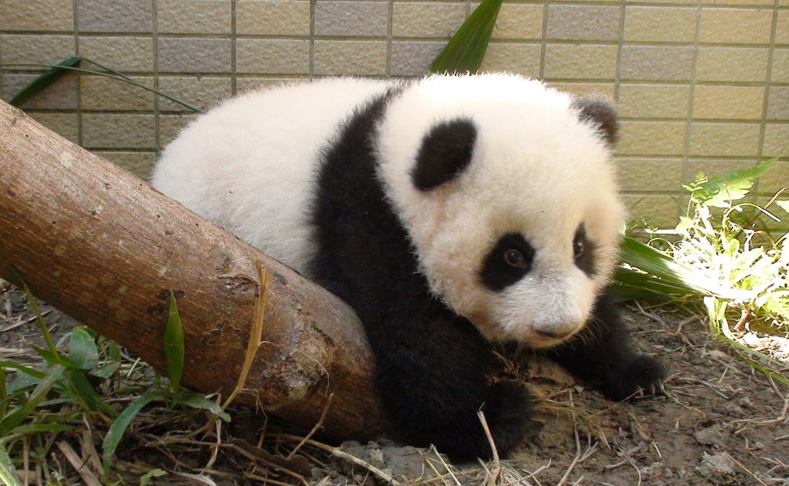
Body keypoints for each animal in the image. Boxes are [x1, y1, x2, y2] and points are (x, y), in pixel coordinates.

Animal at [152, 74, 665, 461]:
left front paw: (634, 371)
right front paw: (488, 420)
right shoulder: (369, 219)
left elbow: (602, 314)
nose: (556, 326)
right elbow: (417, 336)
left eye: (580, 246)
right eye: (512, 256)